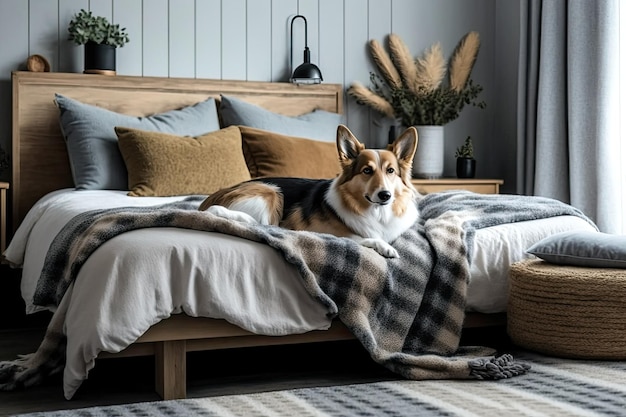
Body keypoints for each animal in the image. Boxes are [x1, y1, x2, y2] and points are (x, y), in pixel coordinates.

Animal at [197, 123, 416, 256]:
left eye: (390, 171)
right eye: (367, 171)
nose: (385, 195)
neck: (376, 212)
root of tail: (208, 201)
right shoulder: (323, 231)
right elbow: (358, 237)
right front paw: (384, 247)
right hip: (270, 192)